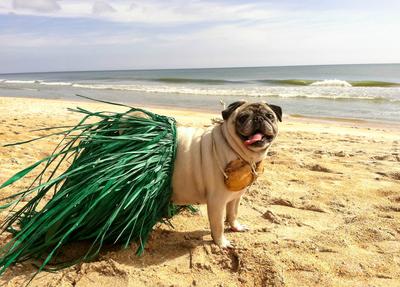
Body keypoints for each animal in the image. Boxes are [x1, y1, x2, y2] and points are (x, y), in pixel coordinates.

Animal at [171, 101, 282, 248]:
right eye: (243, 118)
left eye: (269, 116)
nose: (258, 118)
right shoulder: (217, 201)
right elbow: (218, 225)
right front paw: (221, 243)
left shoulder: (235, 196)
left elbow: (233, 214)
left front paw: (236, 227)